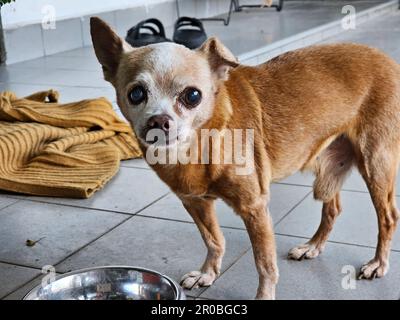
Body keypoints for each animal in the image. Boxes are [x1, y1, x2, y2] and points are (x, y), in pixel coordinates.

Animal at [90, 16, 400, 298]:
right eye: (136, 94)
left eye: (192, 96)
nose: (159, 121)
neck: (200, 144)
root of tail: (388, 60)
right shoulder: (195, 202)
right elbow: (214, 240)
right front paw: (207, 274)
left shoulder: (255, 208)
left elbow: (264, 264)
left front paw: (263, 295)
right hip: (328, 165)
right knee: (333, 208)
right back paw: (312, 246)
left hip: (376, 164)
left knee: (388, 217)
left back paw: (377, 263)